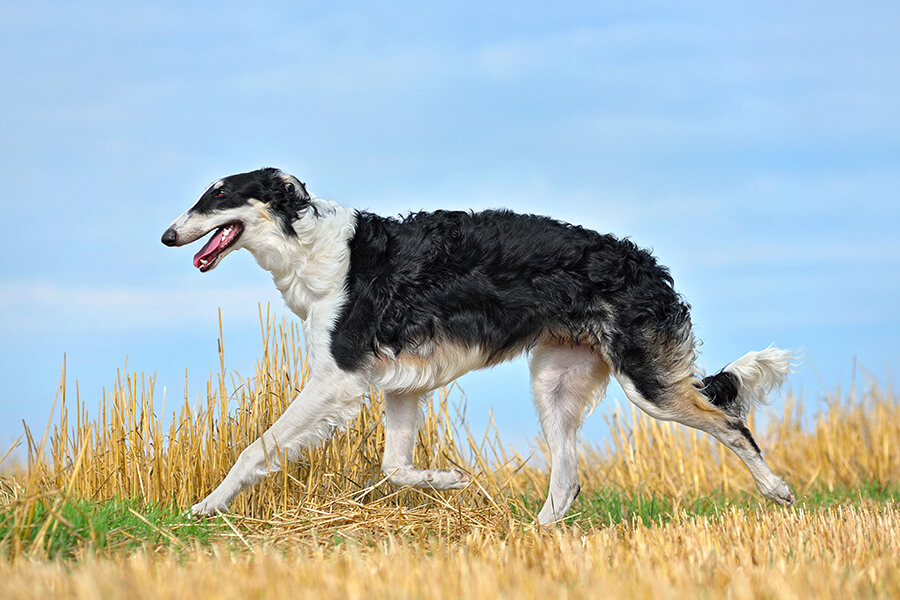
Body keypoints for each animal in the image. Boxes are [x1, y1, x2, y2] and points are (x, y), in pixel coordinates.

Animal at [163, 166, 796, 524]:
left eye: (219, 195)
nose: (167, 235)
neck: (311, 247)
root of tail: (647, 266)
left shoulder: (337, 378)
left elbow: (256, 449)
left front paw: (205, 507)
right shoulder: (399, 386)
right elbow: (395, 467)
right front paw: (449, 481)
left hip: (648, 384)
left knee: (733, 424)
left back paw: (778, 490)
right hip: (555, 383)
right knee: (568, 479)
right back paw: (534, 534)